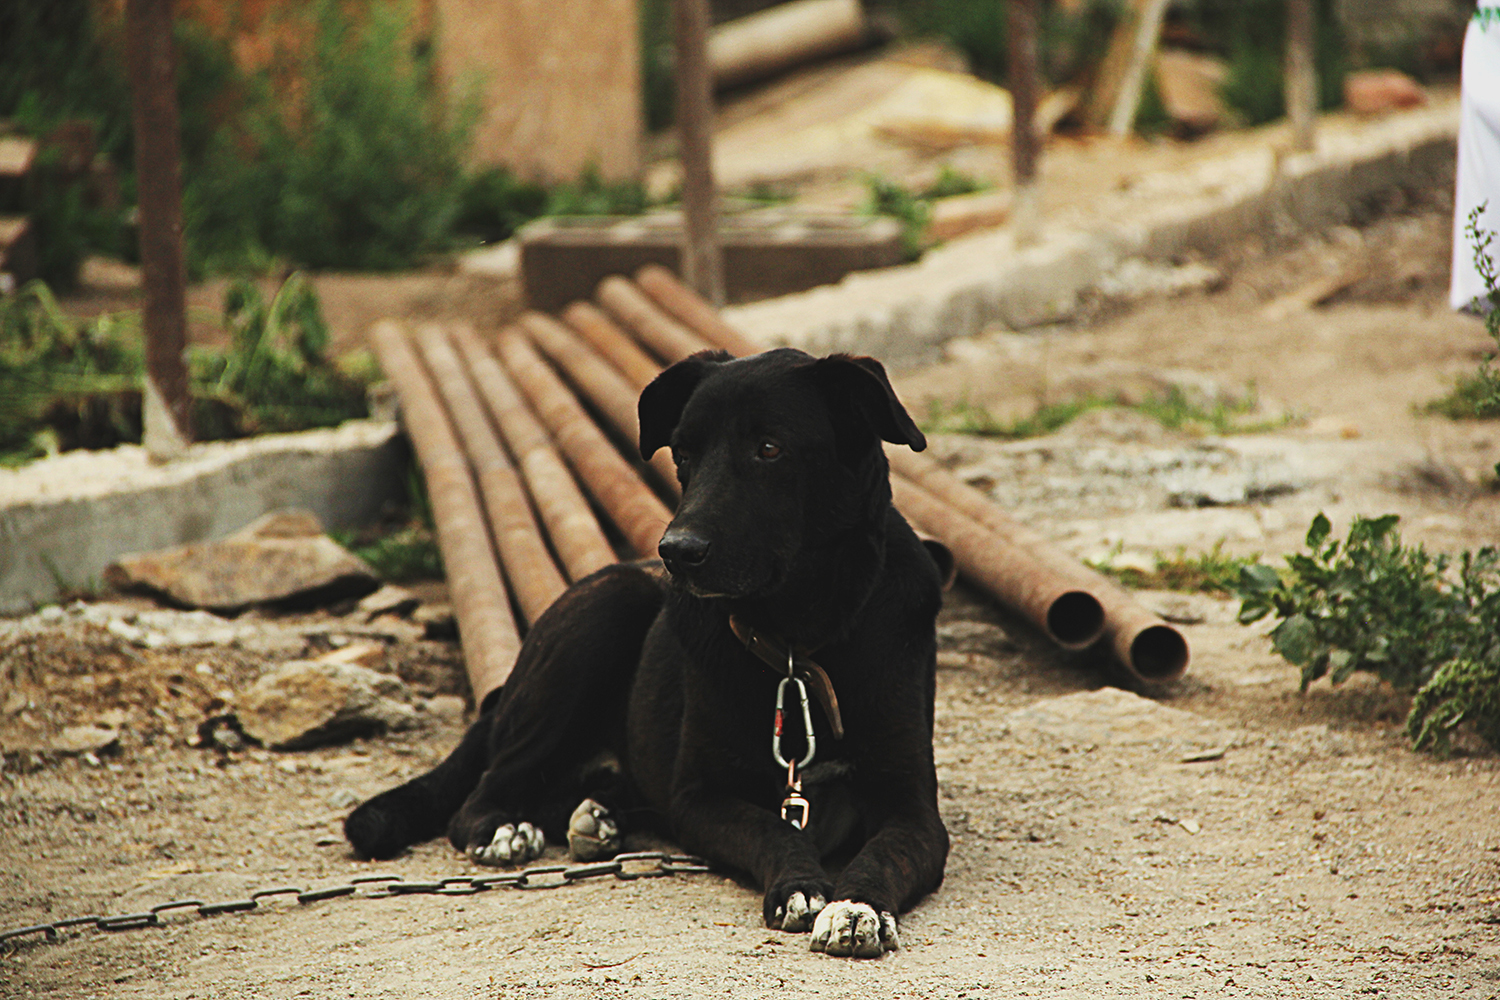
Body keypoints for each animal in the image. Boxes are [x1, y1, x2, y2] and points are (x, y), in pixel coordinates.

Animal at [343, 347, 948, 959]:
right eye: (683, 453)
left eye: (769, 448)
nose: (676, 551)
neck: (797, 643)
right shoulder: (699, 798)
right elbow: (774, 827)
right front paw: (801, 885)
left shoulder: (914, 809)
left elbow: (884, 854)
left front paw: (858, 906)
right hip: (604, 610)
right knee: (483, 794)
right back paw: (506, 828)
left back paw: (599, 814)